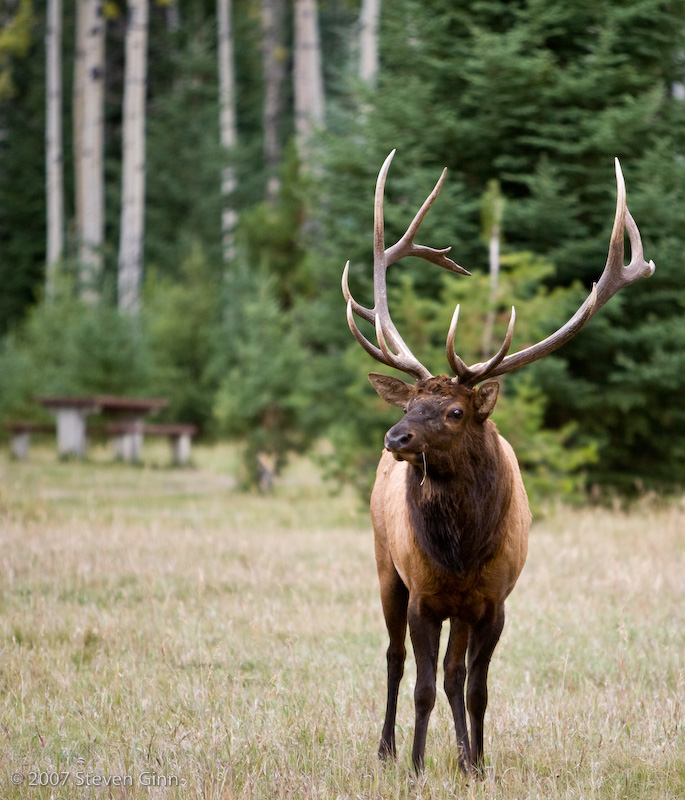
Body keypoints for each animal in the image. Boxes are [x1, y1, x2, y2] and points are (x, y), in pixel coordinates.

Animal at [342, 150, 652, 776]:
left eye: (455, 410)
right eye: (410, 403)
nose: (395, 436)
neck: (462, 551)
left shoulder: (493, 600)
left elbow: (475, 687)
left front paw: (476, 763)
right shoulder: (425, 593)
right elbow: (423, 685)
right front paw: (418, 765)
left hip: (459, 607)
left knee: (455, 674)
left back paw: (462, 754)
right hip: (386, 565)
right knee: (393, 658)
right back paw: (387, 749)